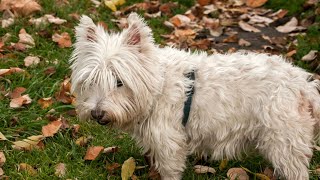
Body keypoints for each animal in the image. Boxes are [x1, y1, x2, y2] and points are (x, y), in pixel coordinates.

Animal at [70, 13, 320, 179]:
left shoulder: (169, 144)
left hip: (284, 141)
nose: (97, 114)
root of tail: (301, 83)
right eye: (91, 81)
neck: (159, 85)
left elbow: (170, 171)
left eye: (119, 82)